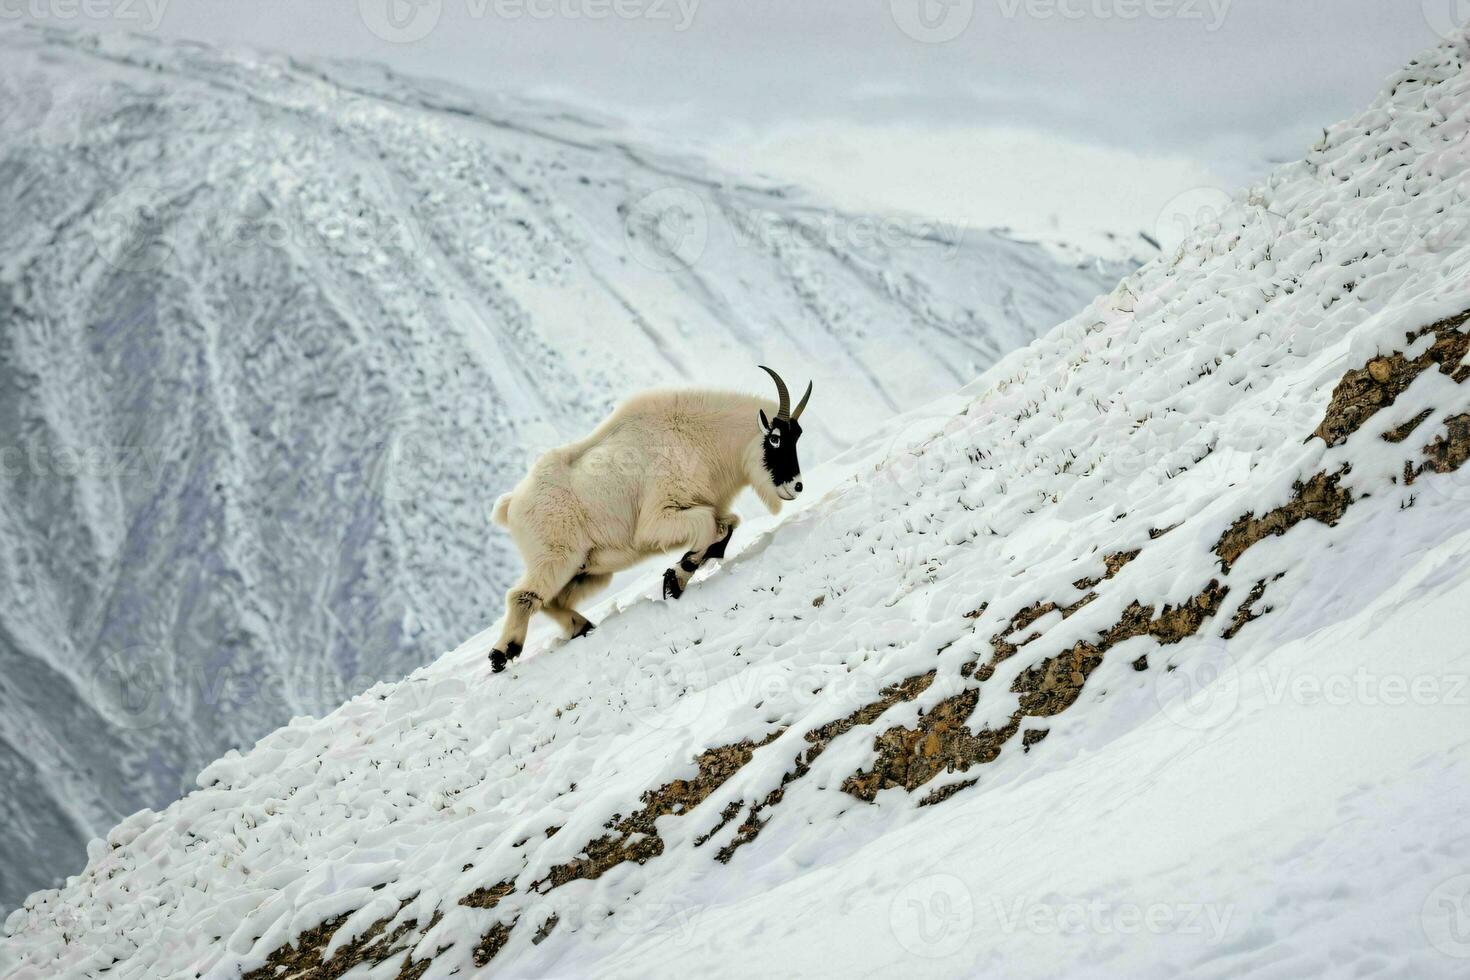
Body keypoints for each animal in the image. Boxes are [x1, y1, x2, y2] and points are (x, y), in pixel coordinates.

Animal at [485, 367, 811, 675]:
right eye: (775, 438)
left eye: (796, 437)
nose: (796, 486)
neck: (700, 437)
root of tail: (511, 504)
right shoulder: (658, 519)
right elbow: (708, 524)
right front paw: (675, 580)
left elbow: (727, 524)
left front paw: (685, 571)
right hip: (555, 558)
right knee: (522, 596)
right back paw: (502, 654)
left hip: (587, 568)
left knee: (552, 601)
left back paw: (582, 626)